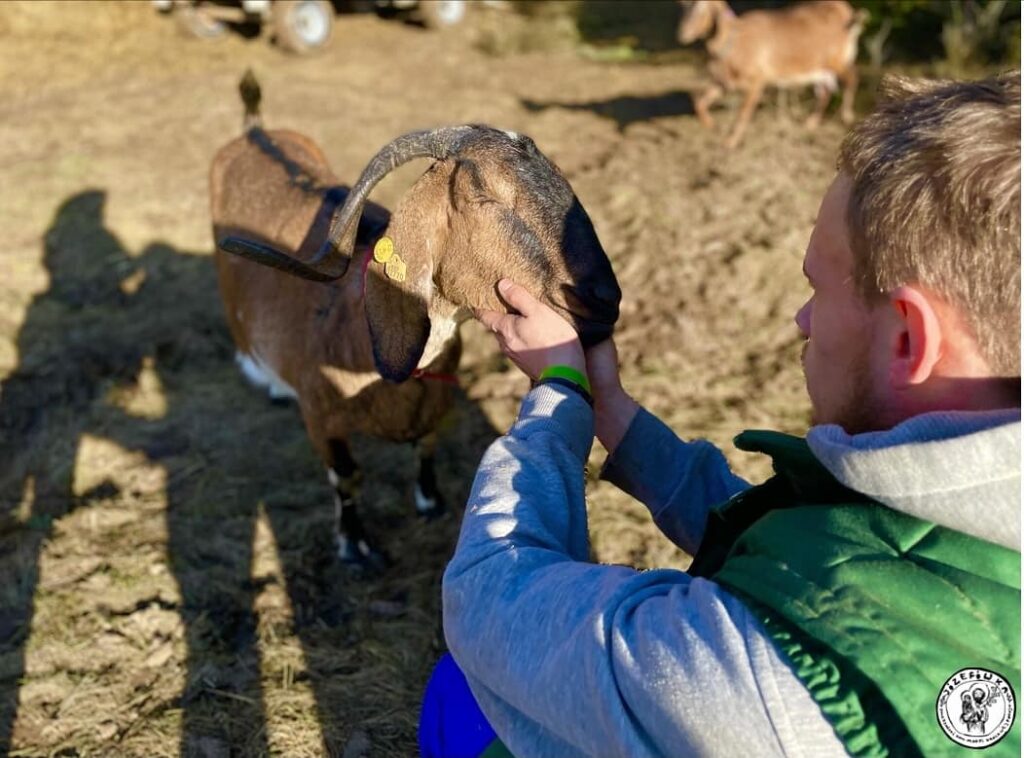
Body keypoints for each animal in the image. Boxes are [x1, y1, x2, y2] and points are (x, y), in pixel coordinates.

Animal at [211, 72, 618, 569]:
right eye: (485, 193)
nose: (605, 300)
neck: (357, 332)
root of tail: (255, 130)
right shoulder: (322, 421)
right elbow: (347, 478)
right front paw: (355, 547)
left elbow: (427, 443)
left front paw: (430, 501)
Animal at [679, 0, 864, 148]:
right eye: (685, 7)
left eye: (704, 8)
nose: (682, 33)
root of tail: (845, 10)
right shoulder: (724, 83)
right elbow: (699, 102)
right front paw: (711, 125)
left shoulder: (756, 82)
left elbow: (742, 114)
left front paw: (730, 142)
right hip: (819, 68)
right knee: (825, 92)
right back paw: (811, 123)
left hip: (837, 60)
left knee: (852, 77)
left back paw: (847, 116)